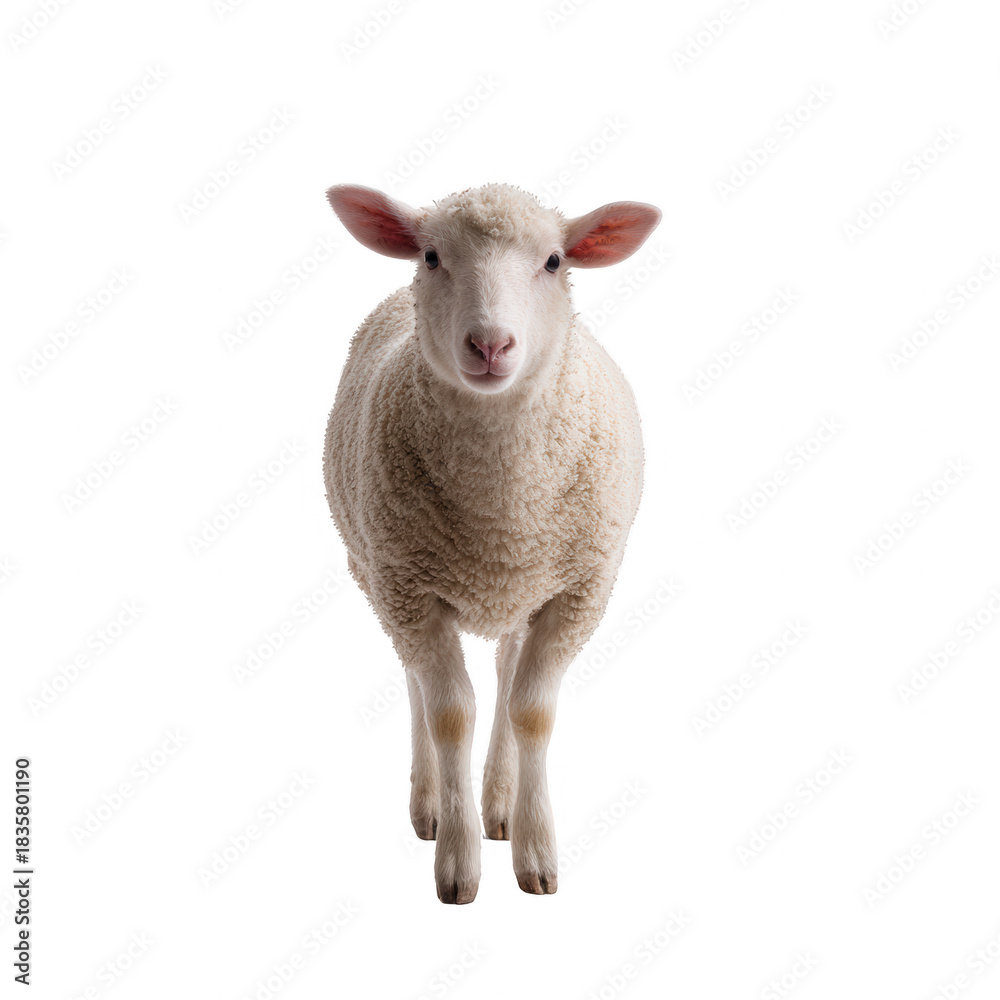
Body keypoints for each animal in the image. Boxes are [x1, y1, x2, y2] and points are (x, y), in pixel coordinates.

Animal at [323, 182, 661, 903]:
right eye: (430, 256)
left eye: (555, 261)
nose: (489, 344)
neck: (501, 508)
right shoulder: (407, 587)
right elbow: (451, 713)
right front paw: (457, 863)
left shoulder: (577, 591)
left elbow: (531, 710)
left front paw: (535, 853)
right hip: (377, 574)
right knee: (418, 684)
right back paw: (429, 805)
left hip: (521, 589)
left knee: (507, 673)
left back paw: (500, 807)